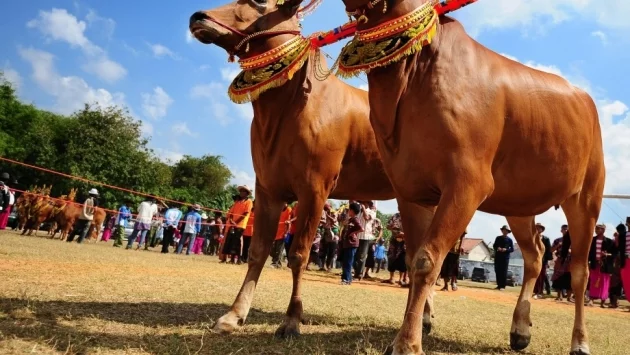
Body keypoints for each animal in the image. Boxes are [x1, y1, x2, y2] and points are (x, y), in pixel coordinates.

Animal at [188, 2, 398, 340]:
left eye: (260, 3)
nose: (199, 17)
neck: (287, 109)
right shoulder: (268, 189)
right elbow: (257, 251)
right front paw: (234, 315)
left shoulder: (315, 189)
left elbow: (299, 255)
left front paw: (291, 320)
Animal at [328, 1, 604, 354]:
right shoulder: (410, 189)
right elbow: (413, 257)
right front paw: (415, 327)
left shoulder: (467, 184)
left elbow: (426, 260)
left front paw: (407, 343)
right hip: (519, 204)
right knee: (534, 256)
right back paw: (520, 329)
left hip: (586, 197)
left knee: (581, 271)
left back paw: (580, 342)